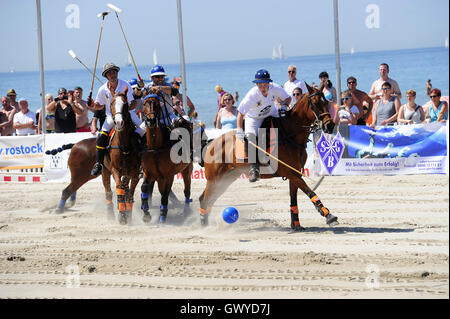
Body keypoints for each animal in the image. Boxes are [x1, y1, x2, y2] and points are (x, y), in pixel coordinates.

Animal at [46, 87, 140, 225]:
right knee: (70, 190)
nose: (119, 122)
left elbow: (129, 193)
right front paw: (122, 216)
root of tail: (75, 145)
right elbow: (120, 188)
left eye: (126, 104)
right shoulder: (116, 170)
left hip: (87, 175)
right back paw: (60, 209)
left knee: (74, 190)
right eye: (112, 103)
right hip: (85, 174)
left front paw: (128, 215)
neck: (124, 144)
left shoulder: (133, 172)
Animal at [141, 94, 193, 225]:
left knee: (187, 190)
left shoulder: (169, 175)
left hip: (187, 168)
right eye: (144, 104)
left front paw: (162, 217)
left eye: (157, 104)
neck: (155, 147)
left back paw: (186, 212)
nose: (151, 120)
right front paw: (146, 213)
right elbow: (144, 187)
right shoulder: (148, 172)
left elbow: (165, 195)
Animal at [199, 84, 340, 231]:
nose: (330, 125)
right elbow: (310, 192)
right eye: (315, 104)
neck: (289, 134)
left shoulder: (295, 173)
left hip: (226, 179)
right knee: (204, 199)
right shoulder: (290, 172)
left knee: (208, 199)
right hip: (214, 179)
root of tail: (210, 143)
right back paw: (203, 225)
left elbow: (293, 199)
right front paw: (329, 216)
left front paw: (296, 225)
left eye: (326, 102)